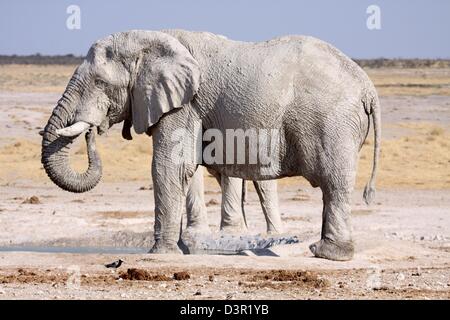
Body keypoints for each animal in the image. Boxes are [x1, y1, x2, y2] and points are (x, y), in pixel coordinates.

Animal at [41, 29, 380, 260]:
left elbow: (169, 166)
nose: (92, 130)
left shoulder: (184, 104)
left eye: (100, 83)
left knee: (334, 183)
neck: (152, 39)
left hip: (333, 123)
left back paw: (327, 253)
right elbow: (184, 169)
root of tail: (368, 88)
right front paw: (181, 249)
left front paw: (161, 254)